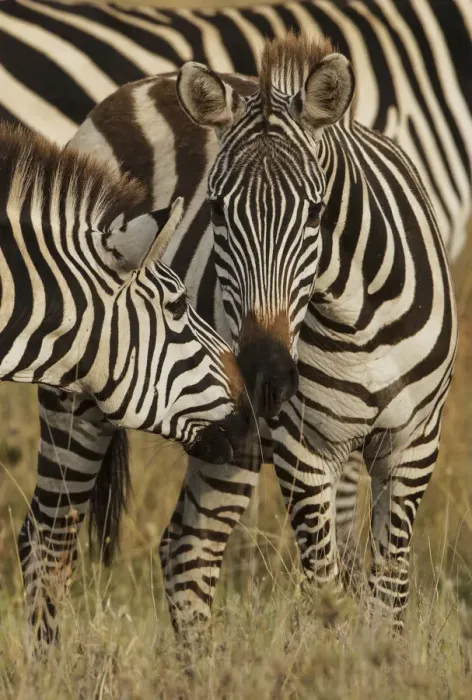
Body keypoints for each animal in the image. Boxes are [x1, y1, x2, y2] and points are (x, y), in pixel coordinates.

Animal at [1, 0, 471, 550]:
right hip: (78, 396)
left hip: (225, 433)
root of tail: (136, 88)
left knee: (185, 545)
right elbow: (328, 565)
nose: (263, 375)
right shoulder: (304, 447)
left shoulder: (412, 445)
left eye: (317, 212)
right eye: (217, 210)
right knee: (46, 537)